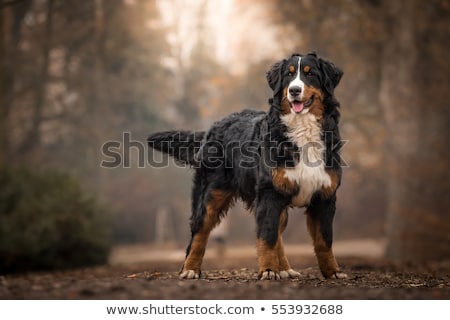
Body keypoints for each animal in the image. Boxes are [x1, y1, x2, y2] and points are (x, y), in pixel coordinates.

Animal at [149, 52, 346, 280]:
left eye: (310, 74)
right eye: (288, 76)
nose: (294, 90)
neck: (302, 130)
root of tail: (214, 126)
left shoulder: (324, 195)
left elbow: (324, 240)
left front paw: (333, 272)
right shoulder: (270, 194)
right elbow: (267, 237)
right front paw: (268, 270)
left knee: (277, 234)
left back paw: (285, 268)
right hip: (210, 195)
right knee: (199, 233)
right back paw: (190, 269)